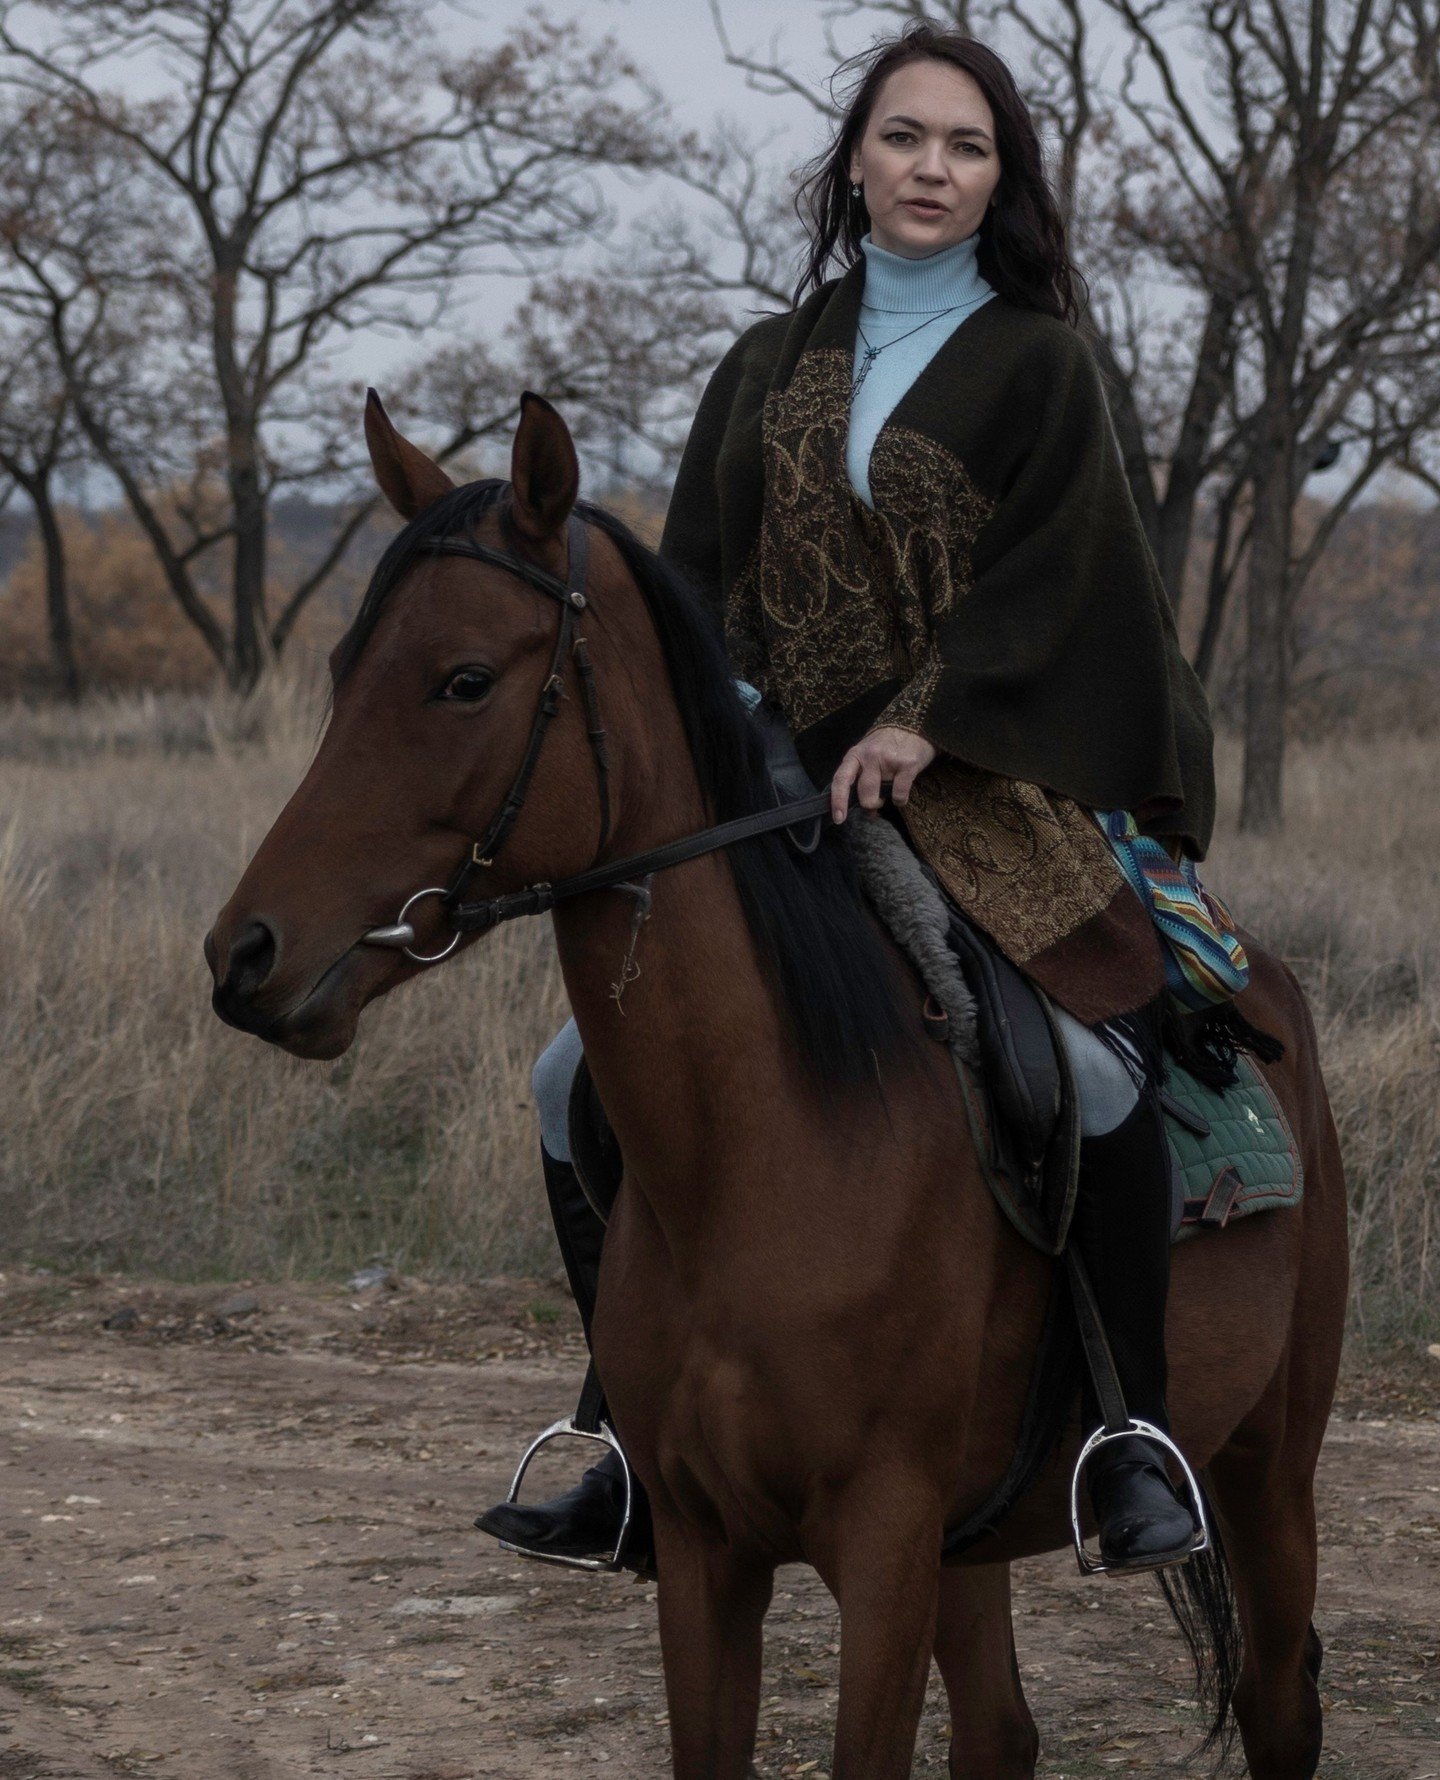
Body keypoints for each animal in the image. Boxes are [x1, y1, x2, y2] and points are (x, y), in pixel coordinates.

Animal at [204, 396, 1345, 1780]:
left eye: (464, 679)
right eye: (341, 673)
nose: (246, 955)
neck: (762, 1152)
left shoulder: (884, 1548)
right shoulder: (707, 1557)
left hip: (1267, 1469)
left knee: (1278, 1703)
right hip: (978, 1541)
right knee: (1002, 1730)